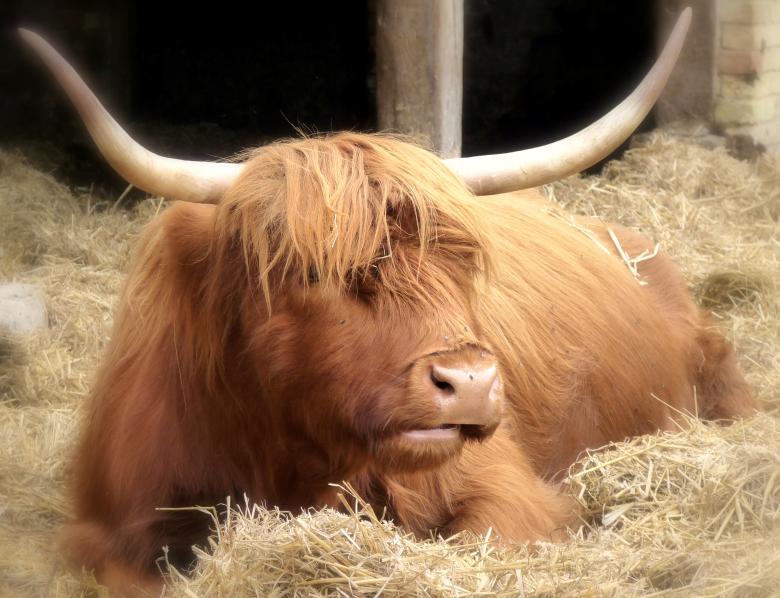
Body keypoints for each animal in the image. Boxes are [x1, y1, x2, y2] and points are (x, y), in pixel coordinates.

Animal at [20, 9, 757, 593]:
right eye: (313, 270)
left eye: (462, 262)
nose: (471, 383)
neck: (278, 450)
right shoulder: (102, 526)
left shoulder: (507, 492)